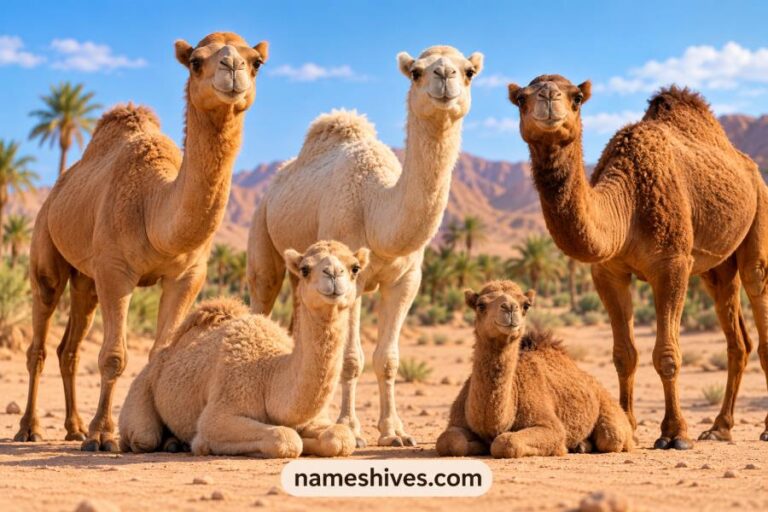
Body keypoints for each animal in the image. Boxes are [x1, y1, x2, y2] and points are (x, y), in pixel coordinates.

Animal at [14, 32, 268, 452]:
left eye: (256, 62)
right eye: (196, 61)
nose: (232, 68)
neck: (154, 210)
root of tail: (55, 190)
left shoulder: (188, 275)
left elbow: (159, 351)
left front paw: (169, 437)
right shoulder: (116, 271)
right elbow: (114, 356)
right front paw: (103, 435)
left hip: (86, 280)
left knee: (69, 348)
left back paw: (73, 427)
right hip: (45, 250)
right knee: (39, 340)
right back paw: (30, 428)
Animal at [119, 241, 369, 458]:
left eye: (355, 268)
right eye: (304, 269)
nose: (333, 274)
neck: (269, 375)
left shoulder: (317, 419)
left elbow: (340, 437)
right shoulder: (220, 412)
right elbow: (285, 438)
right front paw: (202, 445)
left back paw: (174, 443)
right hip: (142, 390)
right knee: (144, 436)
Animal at [246, 46, 484, 447]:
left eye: (468, 71)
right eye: (416, 71)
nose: (445, 75)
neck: (377, 208)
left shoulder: (406, 280)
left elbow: (387, 358)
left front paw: (395, 432)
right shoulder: (349, 279)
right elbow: (351, 359)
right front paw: (352, 430)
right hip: (261, 230)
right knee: (262, 294)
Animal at [437, 281, 633, 458]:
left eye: (526, 305)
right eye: (480, 305)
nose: (510, 308)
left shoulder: (550, 425)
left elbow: (505, 442)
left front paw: (562, 448)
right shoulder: (458, 421)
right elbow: (448, 440)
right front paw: (478, 445)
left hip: (608, 408)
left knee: (611, 438)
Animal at [507, 75, 768, 448]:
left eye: (576, 98)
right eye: (521, 99)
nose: (547, 96)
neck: (627, 204)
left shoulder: (672, 264)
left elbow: (667, 355)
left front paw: (674, 434)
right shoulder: (607, 271)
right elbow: (624, 354)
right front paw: (626, 426)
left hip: (758, 213)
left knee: (756, 283)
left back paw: (763, 428)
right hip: (716, 268)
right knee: (737, 338)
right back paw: (720, 428)